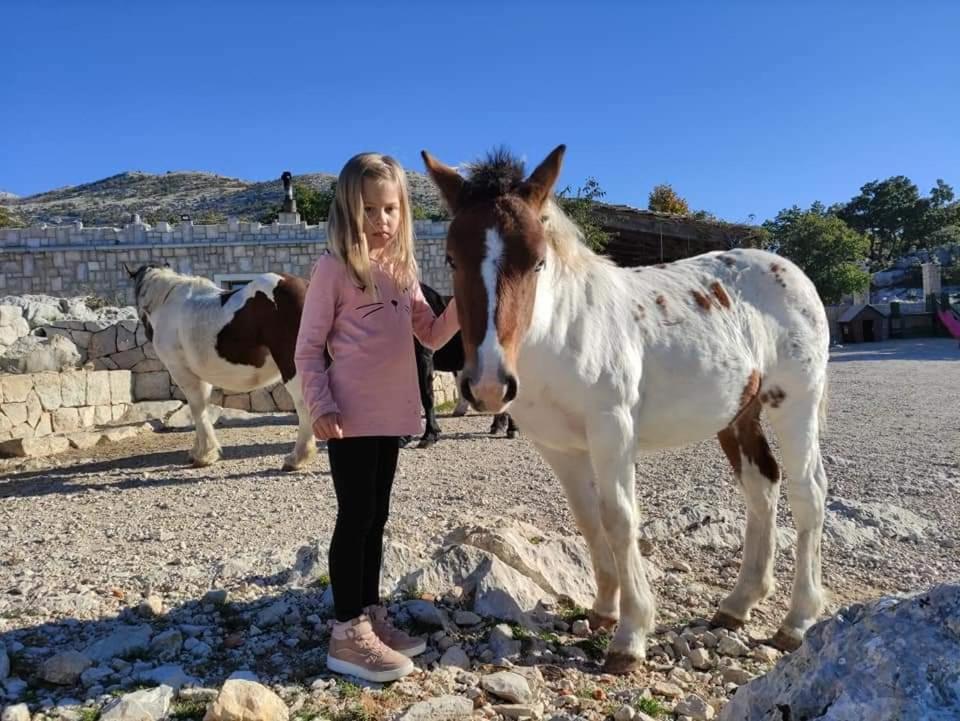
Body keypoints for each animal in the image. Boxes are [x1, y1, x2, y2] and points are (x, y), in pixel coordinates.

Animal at [124, 264, 316, 472]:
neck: (167, 302)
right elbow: (201, 408)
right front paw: (198, 451)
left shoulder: (182, 372)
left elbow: (197, 408)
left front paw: (204, 455)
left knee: (303, 405)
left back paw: (297, 457)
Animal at [422, 146, 832, 676]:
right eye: (452, 258)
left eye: (537, 262)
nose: (490, 384)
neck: (562, 331)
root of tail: (789, 270)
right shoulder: (559, 447)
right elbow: (587, 519)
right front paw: (602, 609)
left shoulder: (612, 430)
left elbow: (619, 519)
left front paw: (630, 634)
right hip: (739, 417)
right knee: (762, 486)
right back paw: (738, 603)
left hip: (794, 405)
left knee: (808, 494)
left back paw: (797, 619)